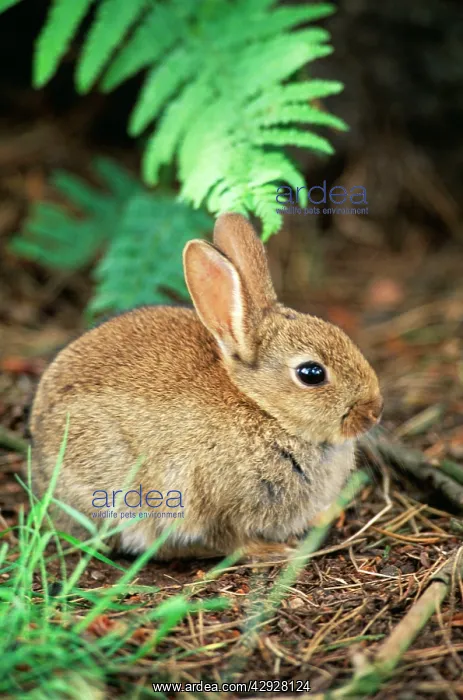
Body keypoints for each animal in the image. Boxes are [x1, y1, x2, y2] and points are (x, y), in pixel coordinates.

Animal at [30, 213, 383, 561]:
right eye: (311, 373)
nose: (374, 411)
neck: (262, 406)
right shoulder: (210, 497)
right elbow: (229, 537)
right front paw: (269, 550)